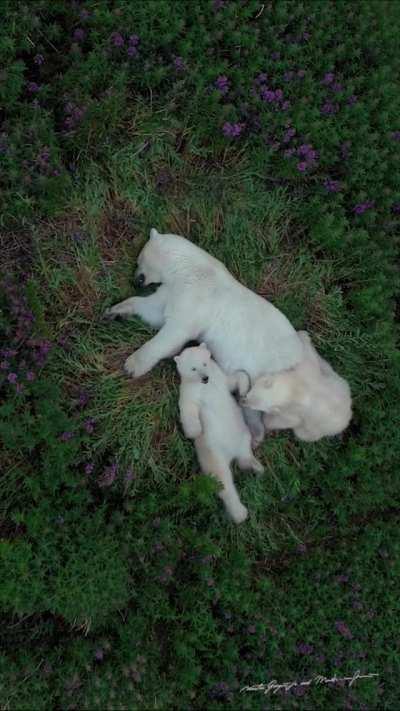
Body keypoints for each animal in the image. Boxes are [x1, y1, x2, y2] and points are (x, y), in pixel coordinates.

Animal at [104, 227, 304, 445]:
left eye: (139, 261)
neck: (190, 269)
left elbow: (174, 331)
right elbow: (153, 310)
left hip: (272, 368)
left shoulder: (195, 298)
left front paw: (132, 365)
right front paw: (115, 310)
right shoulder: (174, 291)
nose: (135, 280)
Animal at [174, 343, 264, 524]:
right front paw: (194, 431)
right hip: (213, 452)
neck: (205, 387)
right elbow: (188, 409)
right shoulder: (189, 392)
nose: (205, 378)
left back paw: (255, 466)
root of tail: (231, 453)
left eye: (205, 363)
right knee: (222, 480)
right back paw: (239, 513)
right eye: (193, 368)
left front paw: (243, 393)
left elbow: (236, 378)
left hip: (242, 434)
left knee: (244, 453)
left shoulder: (219, 379)